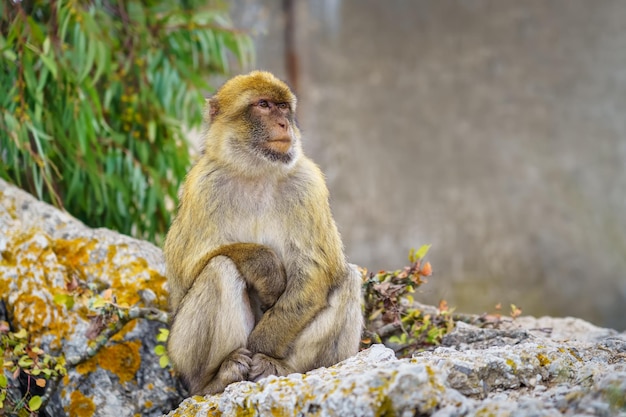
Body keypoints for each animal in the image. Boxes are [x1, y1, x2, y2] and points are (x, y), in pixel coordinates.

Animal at [163, 70, 364, 394]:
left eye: (283, 108)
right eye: (263, 105)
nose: (284, 124)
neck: (257, 172)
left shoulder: (308, 184)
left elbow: (316, 271)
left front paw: (262, 346)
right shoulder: (202, 185)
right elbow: (186, 268)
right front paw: (265, 267)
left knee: (346, 277)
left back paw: (278, 366)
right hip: (180, 353)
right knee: (219, 268)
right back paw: (215, 379)